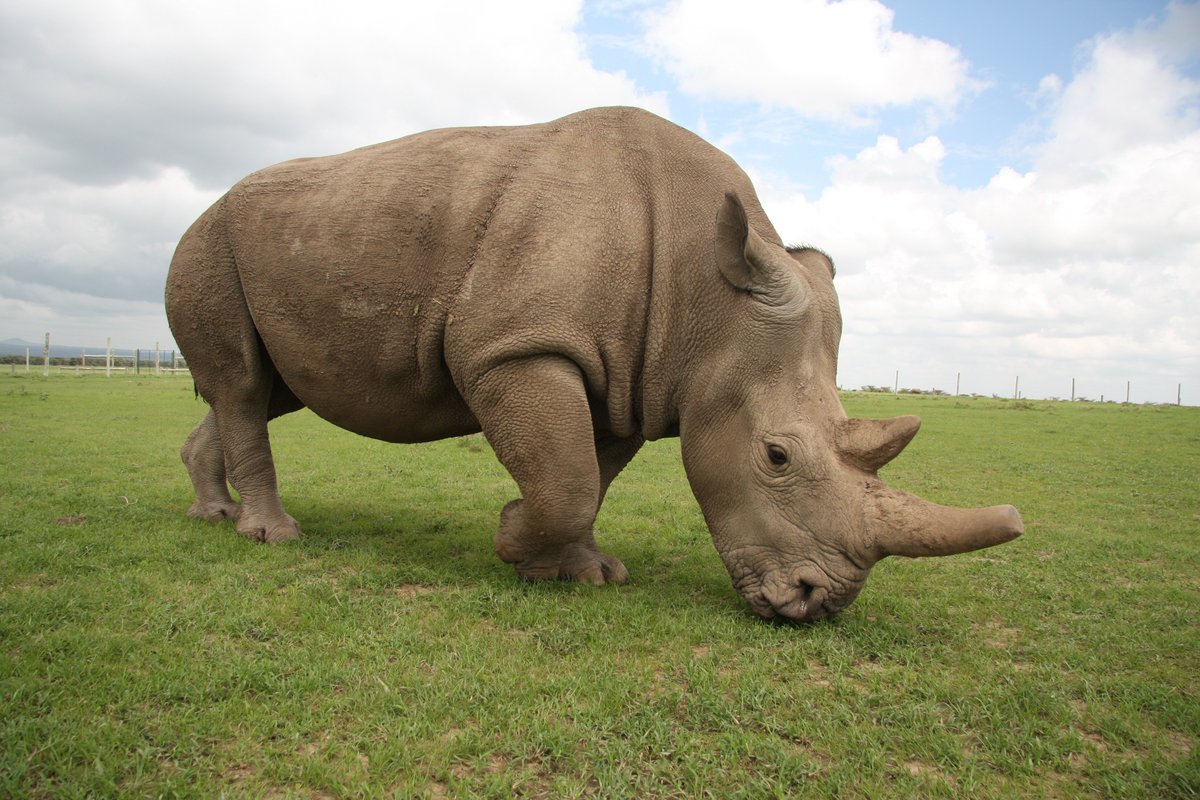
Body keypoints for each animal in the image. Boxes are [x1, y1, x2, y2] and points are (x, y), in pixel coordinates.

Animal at [165, 106, 1022, 622]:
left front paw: (580, 574)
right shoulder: (517, 345)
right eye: (777, 456)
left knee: (266, 392)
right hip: (210, 240)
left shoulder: (633, 377)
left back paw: (212, 515)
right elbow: (568, 476)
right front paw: (514, 539)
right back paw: (274, 537)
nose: (818, 604)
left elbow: (588, 473)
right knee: (243, 384)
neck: (706, 294)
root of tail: (205, 208)